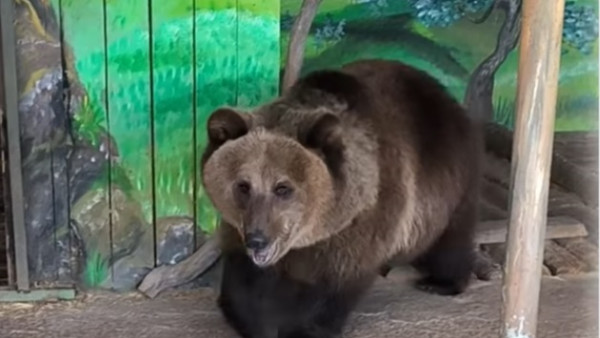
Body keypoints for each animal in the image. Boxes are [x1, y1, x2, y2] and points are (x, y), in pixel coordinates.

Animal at [202, 59, 482, 336]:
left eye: (282, 188)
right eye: (243, 185)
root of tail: (447, 97)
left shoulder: (359, 226)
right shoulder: (239, 230)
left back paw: (440, 282)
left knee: (450, 238)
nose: (257, 239)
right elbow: (244, 284)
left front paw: (304, 327)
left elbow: (332, 289)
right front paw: (252, 320)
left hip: (448, 179)